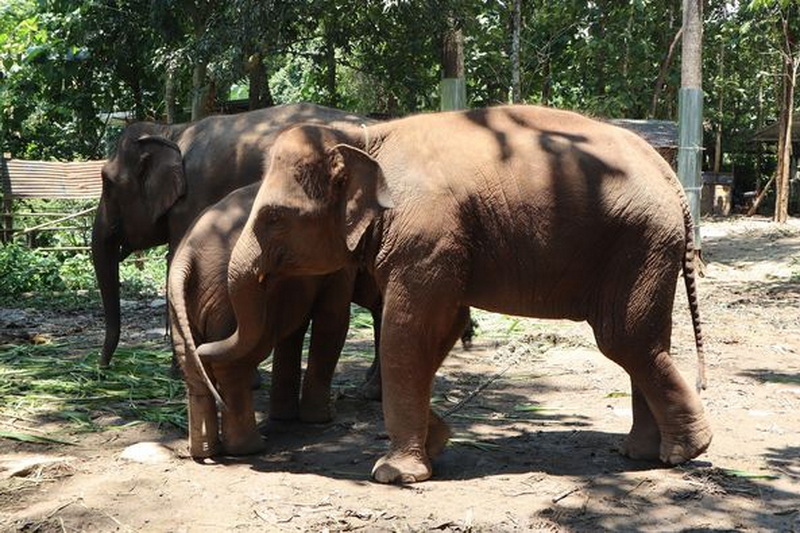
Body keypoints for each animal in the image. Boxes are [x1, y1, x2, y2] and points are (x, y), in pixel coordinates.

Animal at [170, 183, 360, 458]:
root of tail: (185, 256)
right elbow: (333, 321)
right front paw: (323, 418)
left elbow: (296, 331)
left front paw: (286, 417)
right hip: (227, 302)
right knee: (233, 361)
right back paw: (249, 448)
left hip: (183, 303)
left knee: (194, 366)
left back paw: (205, 452)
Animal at [198, 104, 712, 482]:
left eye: (273, 217)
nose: (202, 348)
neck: (366, 138)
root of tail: (673, 180)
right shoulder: (440, 243)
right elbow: (441, 327)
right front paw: (435, 442)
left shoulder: (426, 234)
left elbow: (406, 332)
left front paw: (394, 475)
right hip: (647, 249)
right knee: (646, 339)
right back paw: (643, 453)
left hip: (637, 241)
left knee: (624, 339)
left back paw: (683, 452)